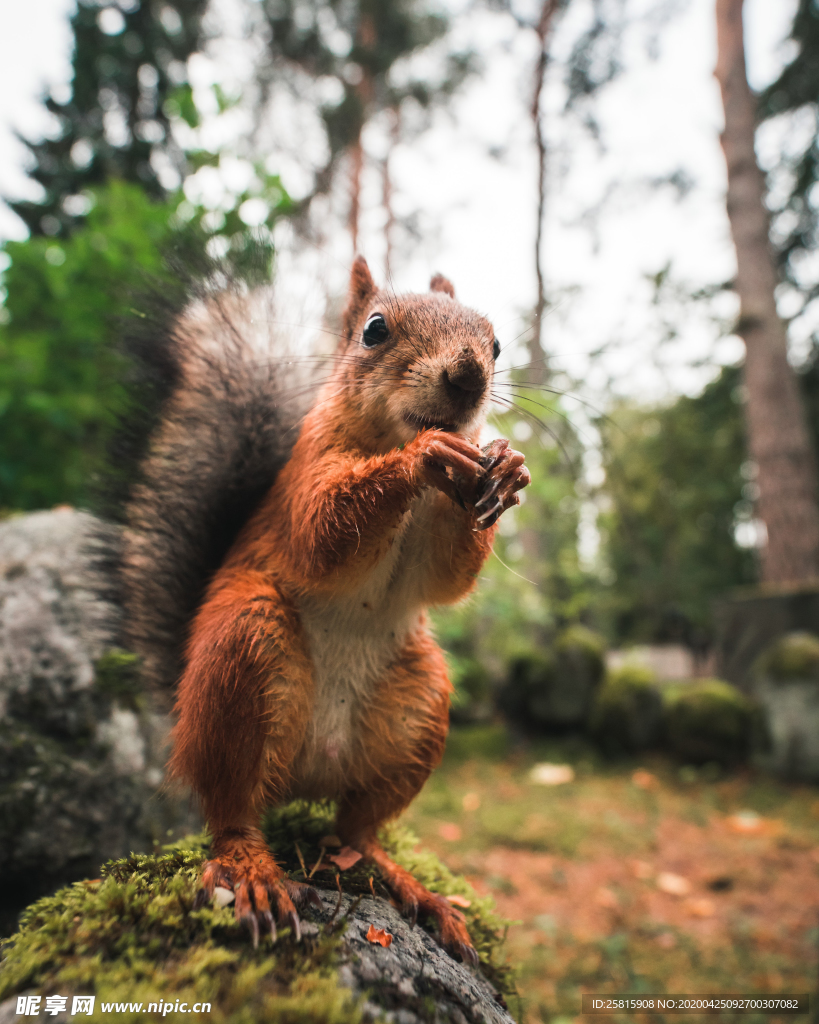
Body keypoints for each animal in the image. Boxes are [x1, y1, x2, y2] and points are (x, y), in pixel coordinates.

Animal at [121, 253, 532, 958]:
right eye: (374, 331)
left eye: (497, 344)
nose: (469, 376)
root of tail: (307, 773)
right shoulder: (307, 474)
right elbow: (324, 528)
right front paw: (421, 456)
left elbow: (446, 576)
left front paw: (506, 465)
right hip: (245, 648)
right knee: (232, 810)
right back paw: (252, 871)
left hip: (418, 704)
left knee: (356, 831)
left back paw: (414, 889)